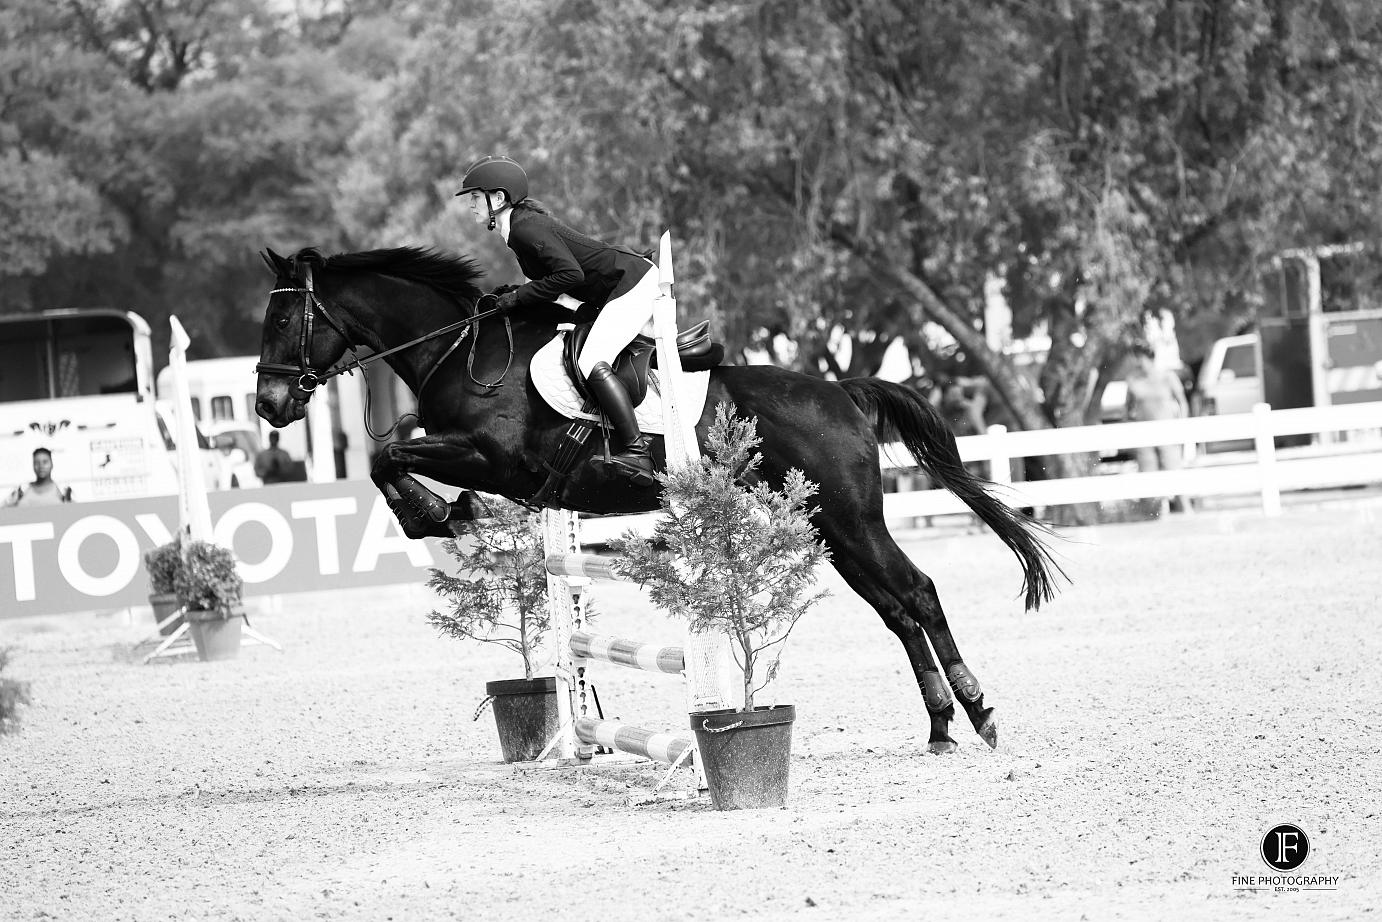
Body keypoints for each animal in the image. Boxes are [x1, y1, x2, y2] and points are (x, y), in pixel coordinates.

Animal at [253, 245, 1065, 753]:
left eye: (284, 319)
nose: (267, 405)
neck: (462, 350)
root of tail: (841, 392)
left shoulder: (495, 459)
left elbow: (387, 453)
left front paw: (433, 513)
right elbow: (389, 450)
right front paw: (445, 513)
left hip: (853, 518)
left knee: (918, 593)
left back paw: (979, 713)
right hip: (829, 529)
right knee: (895, 610)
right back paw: (940, 726)